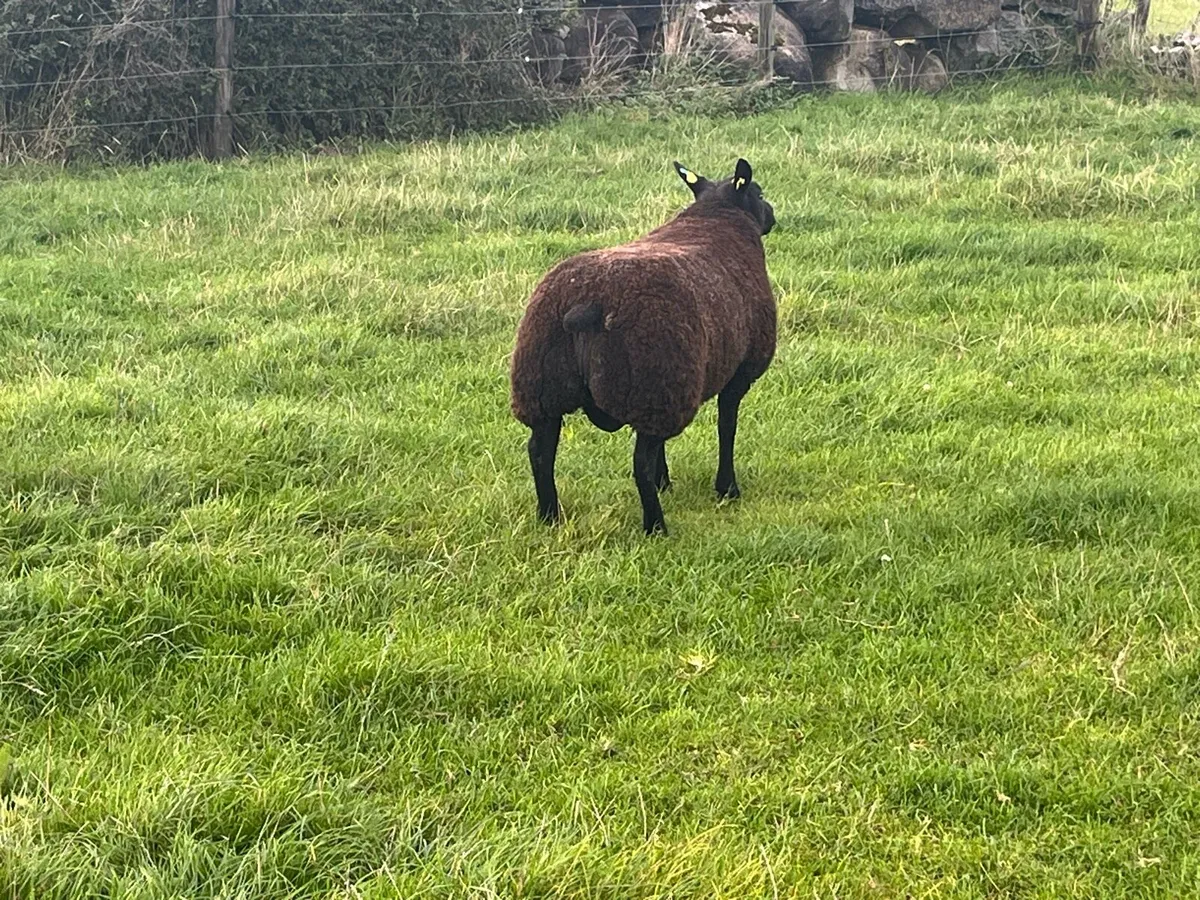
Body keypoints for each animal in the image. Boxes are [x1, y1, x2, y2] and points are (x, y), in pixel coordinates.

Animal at [509, 157, 777, 535]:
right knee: (639, 464)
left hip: (545, 391)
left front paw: (667, 482)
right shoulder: (739, 371)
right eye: (759, 193)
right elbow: (727, 427)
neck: (715, 218)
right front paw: (727, 488)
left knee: (539, 453)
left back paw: (549, 517)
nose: (772, 214)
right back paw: (656, 526)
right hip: (653, 384)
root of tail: (584, 304)